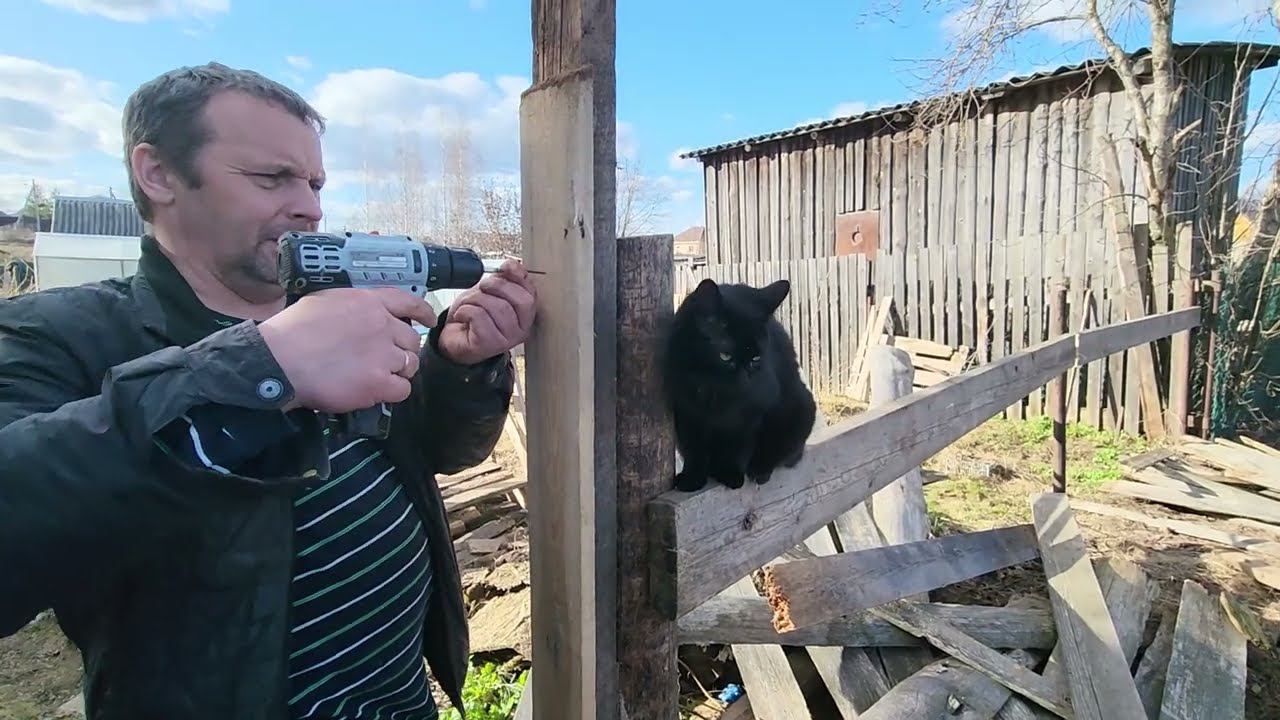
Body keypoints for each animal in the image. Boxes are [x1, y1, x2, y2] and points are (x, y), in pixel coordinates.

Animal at [662, 277, 817, 492]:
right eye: (725, 356)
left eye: (755, 358)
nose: (744, 380)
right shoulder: (686, 413)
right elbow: (694, 449)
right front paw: (692, 479)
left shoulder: (751, 413)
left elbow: (739, 446)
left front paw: (731, 474)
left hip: (801, 409)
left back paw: (760, 470)